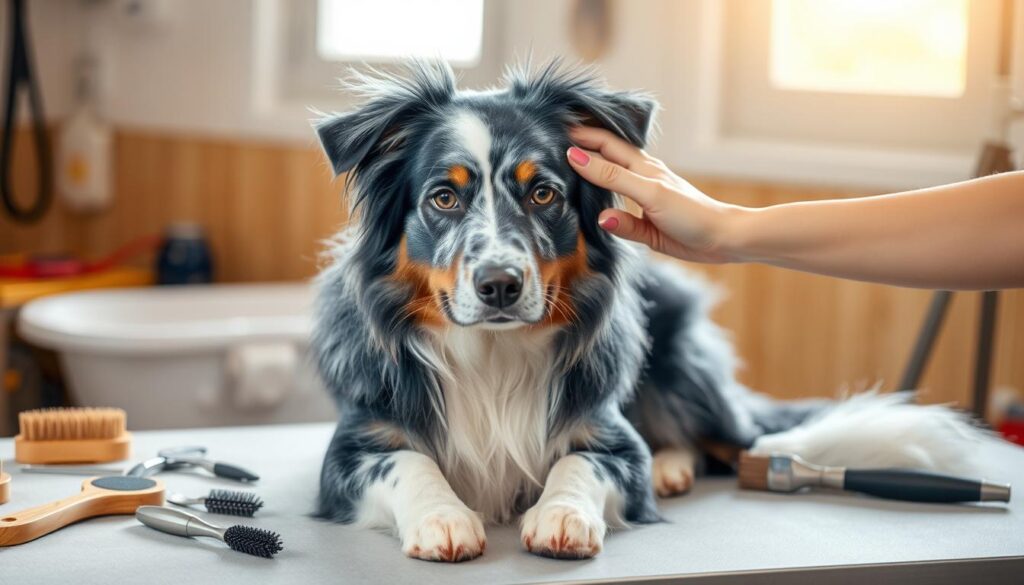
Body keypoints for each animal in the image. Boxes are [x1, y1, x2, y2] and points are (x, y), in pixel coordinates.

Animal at [311, 60, 983, 561]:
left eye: (543, 192)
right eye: (444, 198)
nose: (500, 285)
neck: (493, 355)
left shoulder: (612, 434)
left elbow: (582, 463)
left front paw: (562, 516)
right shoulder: (353, 447)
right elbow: (408, 461)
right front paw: (445, 517)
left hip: (678, 358)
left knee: (737, 442)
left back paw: (672, 468)